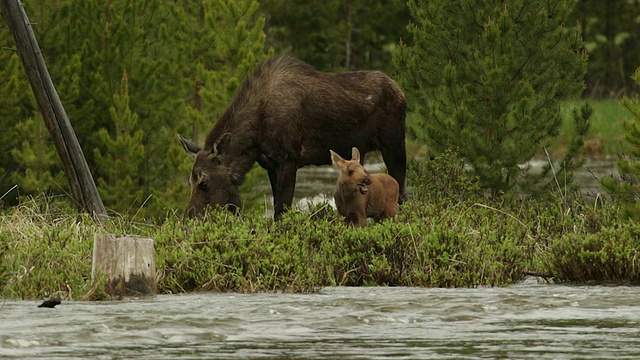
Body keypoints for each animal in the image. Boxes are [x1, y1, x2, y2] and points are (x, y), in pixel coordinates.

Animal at [179, 55, 404, 219]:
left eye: (204, 183)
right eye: (189, 182)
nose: (190, 218)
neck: (255, 138)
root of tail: (400, 90)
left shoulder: (288, 160)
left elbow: (281, 211)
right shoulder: (270, 165)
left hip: (394, 145)